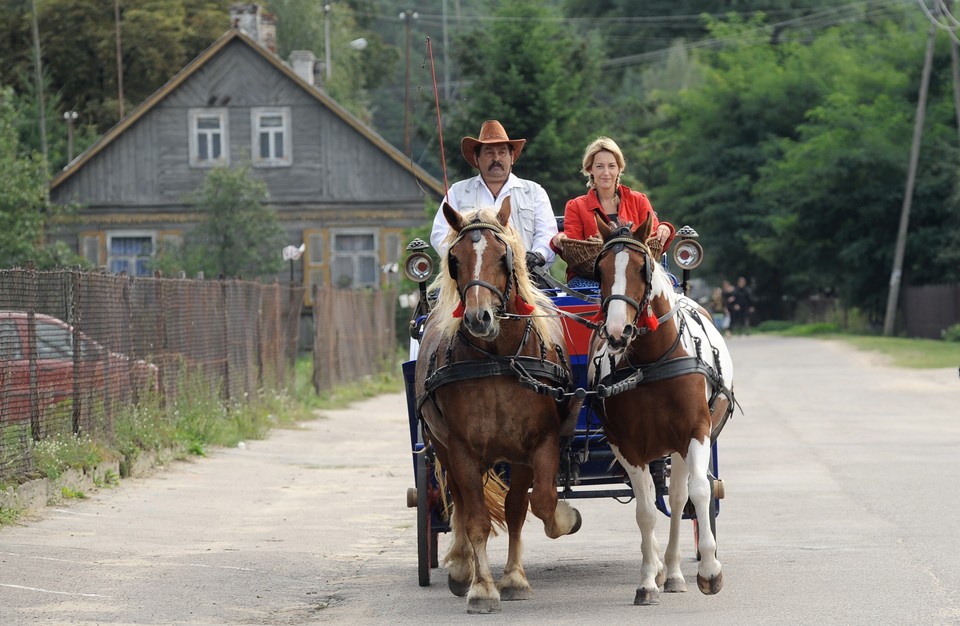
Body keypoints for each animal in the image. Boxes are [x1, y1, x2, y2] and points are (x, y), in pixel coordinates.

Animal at [414, 201, 580, 616]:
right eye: (454, 260)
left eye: (502, 256)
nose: (479, 318)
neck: (498, 359)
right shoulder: (461, 450)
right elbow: (475, 519)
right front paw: (482, 588)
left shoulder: (538, 444)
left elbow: (531, 506)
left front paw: (516, 577)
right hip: (441, 446)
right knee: (457, 501)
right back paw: (462, 568)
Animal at [584, 213, 736, 604]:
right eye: (599, 271)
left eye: (642, 268)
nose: (617, 332)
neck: (652, 362)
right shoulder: (626, 445)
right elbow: (644, 511)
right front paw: (647, 580)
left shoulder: (696, 432)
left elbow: (699, 492)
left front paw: (710, 570)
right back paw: (662, 571)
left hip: (680, 446)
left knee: (682, 496)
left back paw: (676, 572)